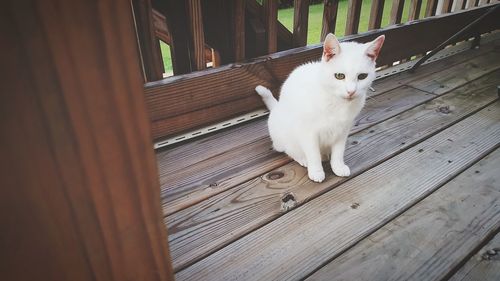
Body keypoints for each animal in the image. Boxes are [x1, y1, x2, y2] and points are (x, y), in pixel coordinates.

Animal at [256, 33, 384, 182]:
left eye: (362, 76)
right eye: (339, 76)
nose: (351, 91)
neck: (337, 103)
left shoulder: (343, 130)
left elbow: (338, 152)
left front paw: (338, 166)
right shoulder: (308, 132)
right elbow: (313, 154)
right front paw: (316, 171)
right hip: (283, 135)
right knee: (289, 149)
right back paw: (303, 158)